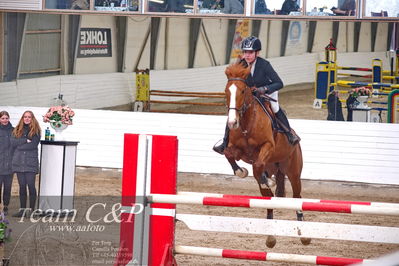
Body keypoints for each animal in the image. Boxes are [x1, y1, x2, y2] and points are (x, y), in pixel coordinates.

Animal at [223, 61, 310, 247]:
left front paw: (265, 180)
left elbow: (257, 165)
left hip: (293, 172)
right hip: (275, 169)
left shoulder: (268, 146)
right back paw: (270, 237)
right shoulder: (237, 150)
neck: (247, 123)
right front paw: (242, 172)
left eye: (243, 91)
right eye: (227, 91)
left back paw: (304, 234)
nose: (232, 123)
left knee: (297, 196)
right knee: (268, 197)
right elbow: (229, 154)